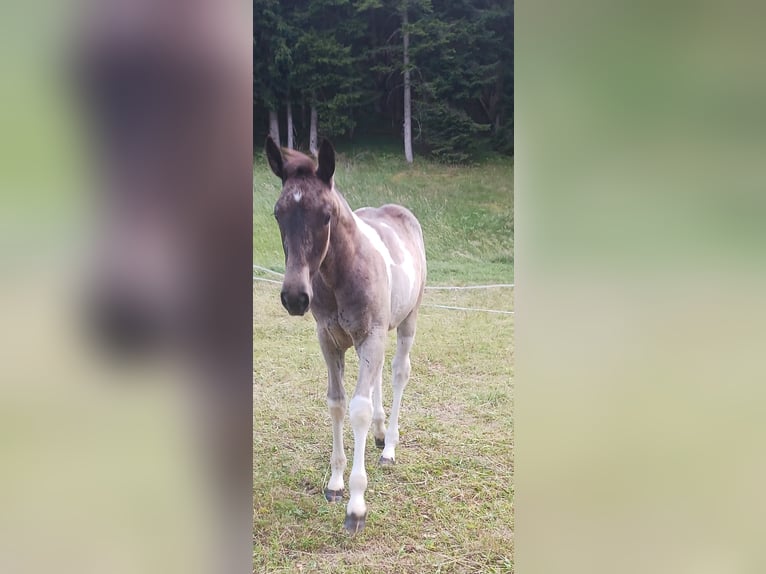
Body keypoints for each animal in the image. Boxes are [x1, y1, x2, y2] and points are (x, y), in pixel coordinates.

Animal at [265, 136, 427, 533]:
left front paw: (356, 505)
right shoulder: (330, 339)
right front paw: (336, 484)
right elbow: (337, 403)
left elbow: (359, 409)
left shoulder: (370, 335)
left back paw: (389, 447)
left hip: (407, 319)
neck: (340, 272)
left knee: (398, 372)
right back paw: (381, 435)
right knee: (380, 376)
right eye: (277, 214)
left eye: (326, 215)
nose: (295, 297)